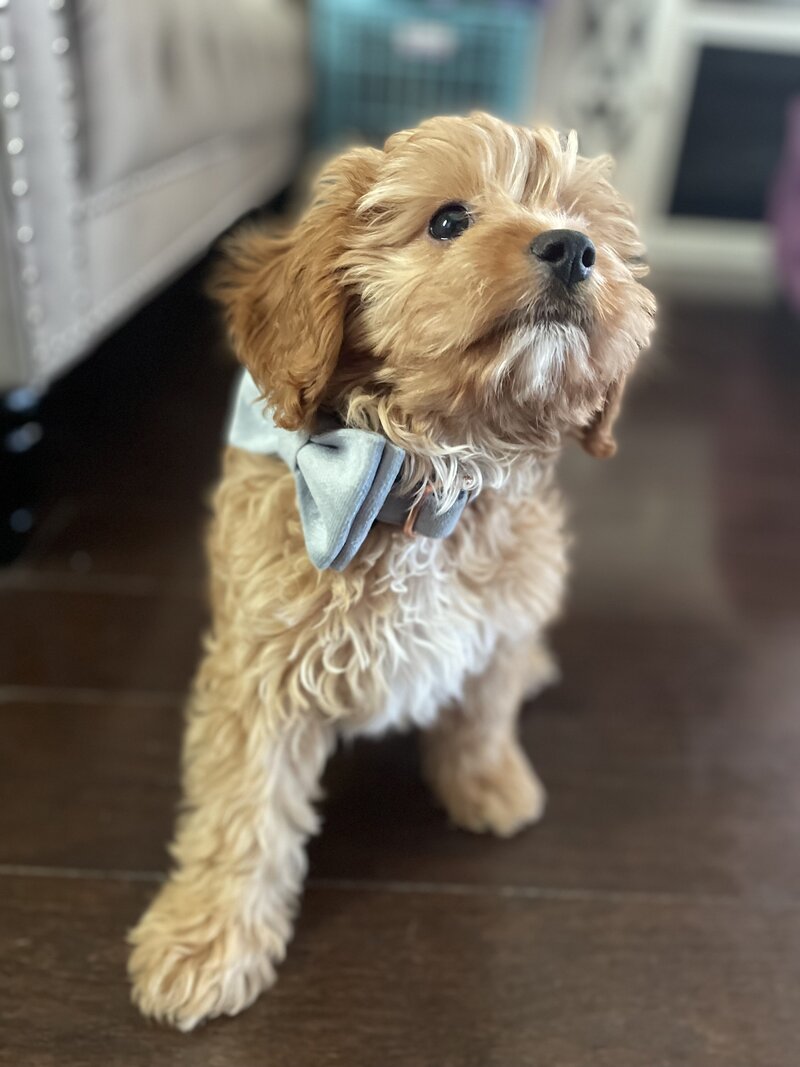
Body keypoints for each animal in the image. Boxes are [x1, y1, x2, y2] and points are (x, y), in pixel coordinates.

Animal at [128, 112, 652, 1028]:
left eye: (582, 219)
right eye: (447, 219)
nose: (573, 248)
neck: (431, 476)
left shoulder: (502, 608)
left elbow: (483, 707)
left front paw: (489, 784)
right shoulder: (259, 672)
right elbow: (242, 810)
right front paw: (208, 942)